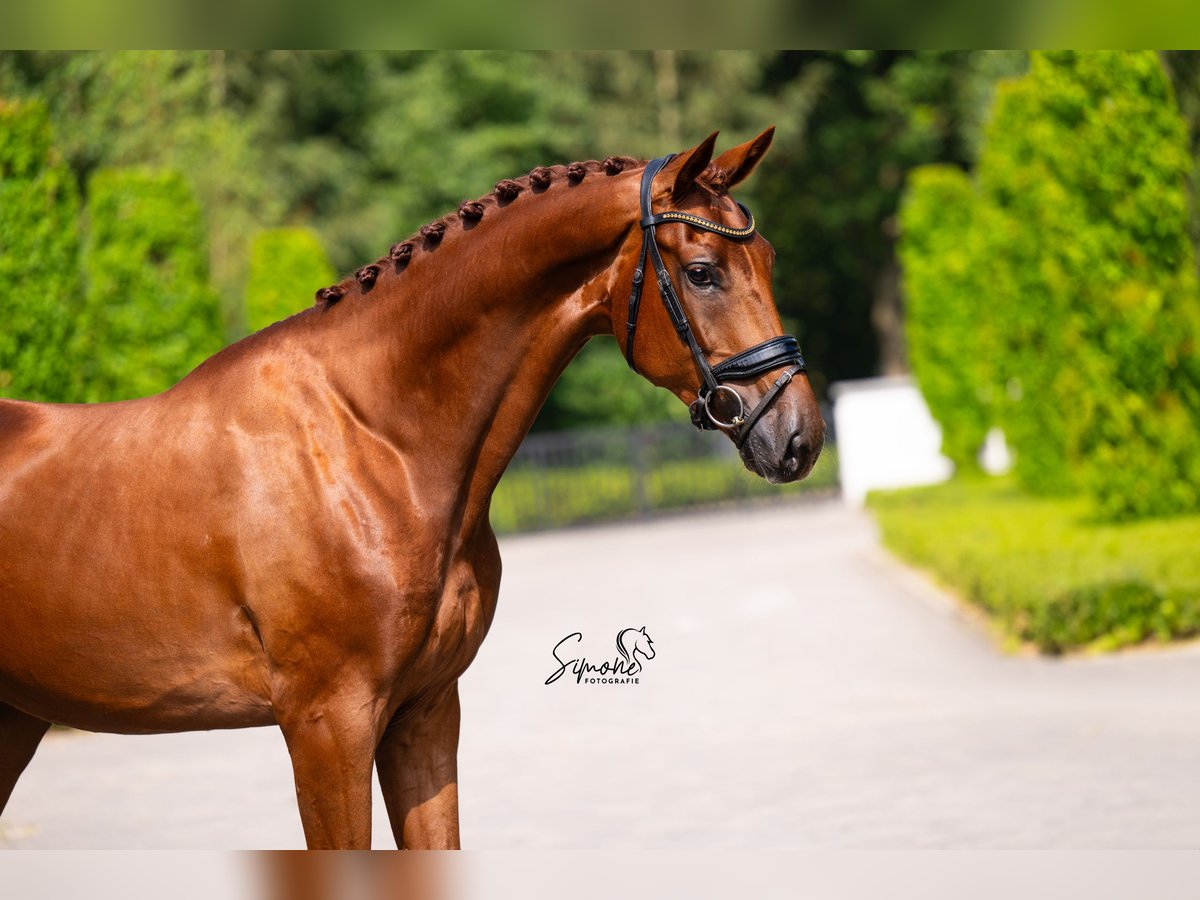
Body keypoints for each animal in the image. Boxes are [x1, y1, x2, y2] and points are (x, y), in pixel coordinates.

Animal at [0, 128, 825, 854]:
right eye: (703, 271)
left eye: (770, 259)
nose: (798, 436)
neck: (374, 440)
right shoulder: (326, 724)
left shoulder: (425, 710)